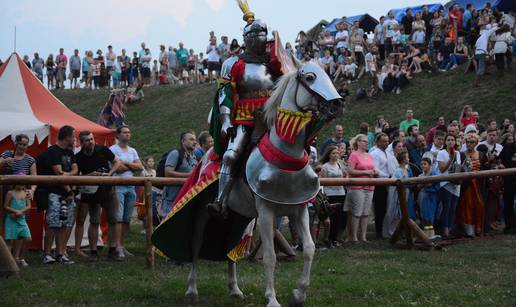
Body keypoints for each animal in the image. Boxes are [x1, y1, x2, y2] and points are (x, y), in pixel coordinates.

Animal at [181, 60, 342, 307]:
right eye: (310, 77)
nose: (337, 103)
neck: (286, 155)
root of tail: (207, 154)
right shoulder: (266, 211)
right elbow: (269, 256)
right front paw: (272, 299)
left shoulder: (299, 209)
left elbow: (309, 249)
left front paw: (298, 294)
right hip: (203, 211)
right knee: (196, 243)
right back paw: (191, 290)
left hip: (239, 217)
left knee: (229, 248)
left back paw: (234, 289)